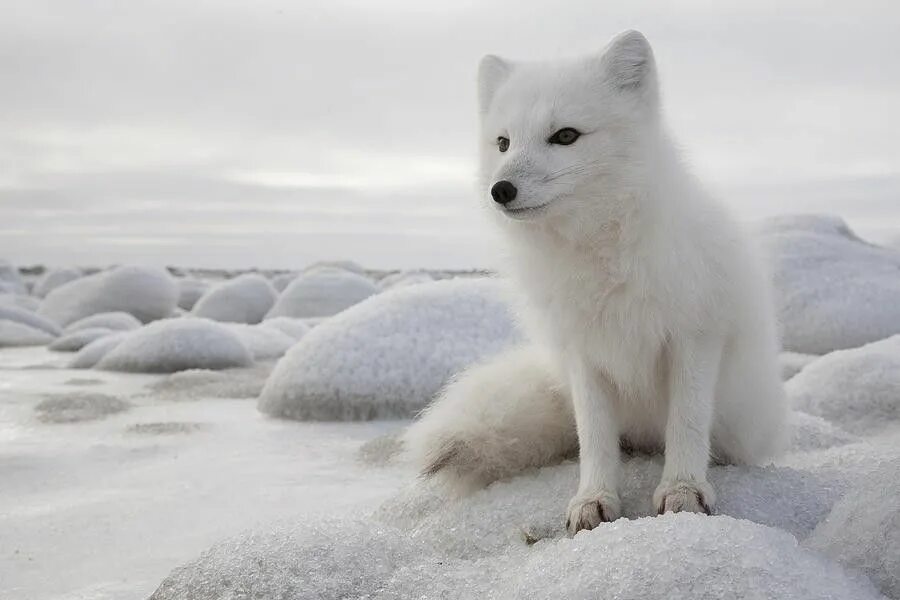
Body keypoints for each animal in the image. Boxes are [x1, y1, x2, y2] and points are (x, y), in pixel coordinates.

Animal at [404, 30, 784, 536]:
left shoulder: (696, 334)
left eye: (565, 135)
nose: (500, 190)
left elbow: (686, 421)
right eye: (503, 142)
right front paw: (593, 499)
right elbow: (594, 437)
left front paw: (683, 491)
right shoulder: (583, 350)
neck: (597, 253)